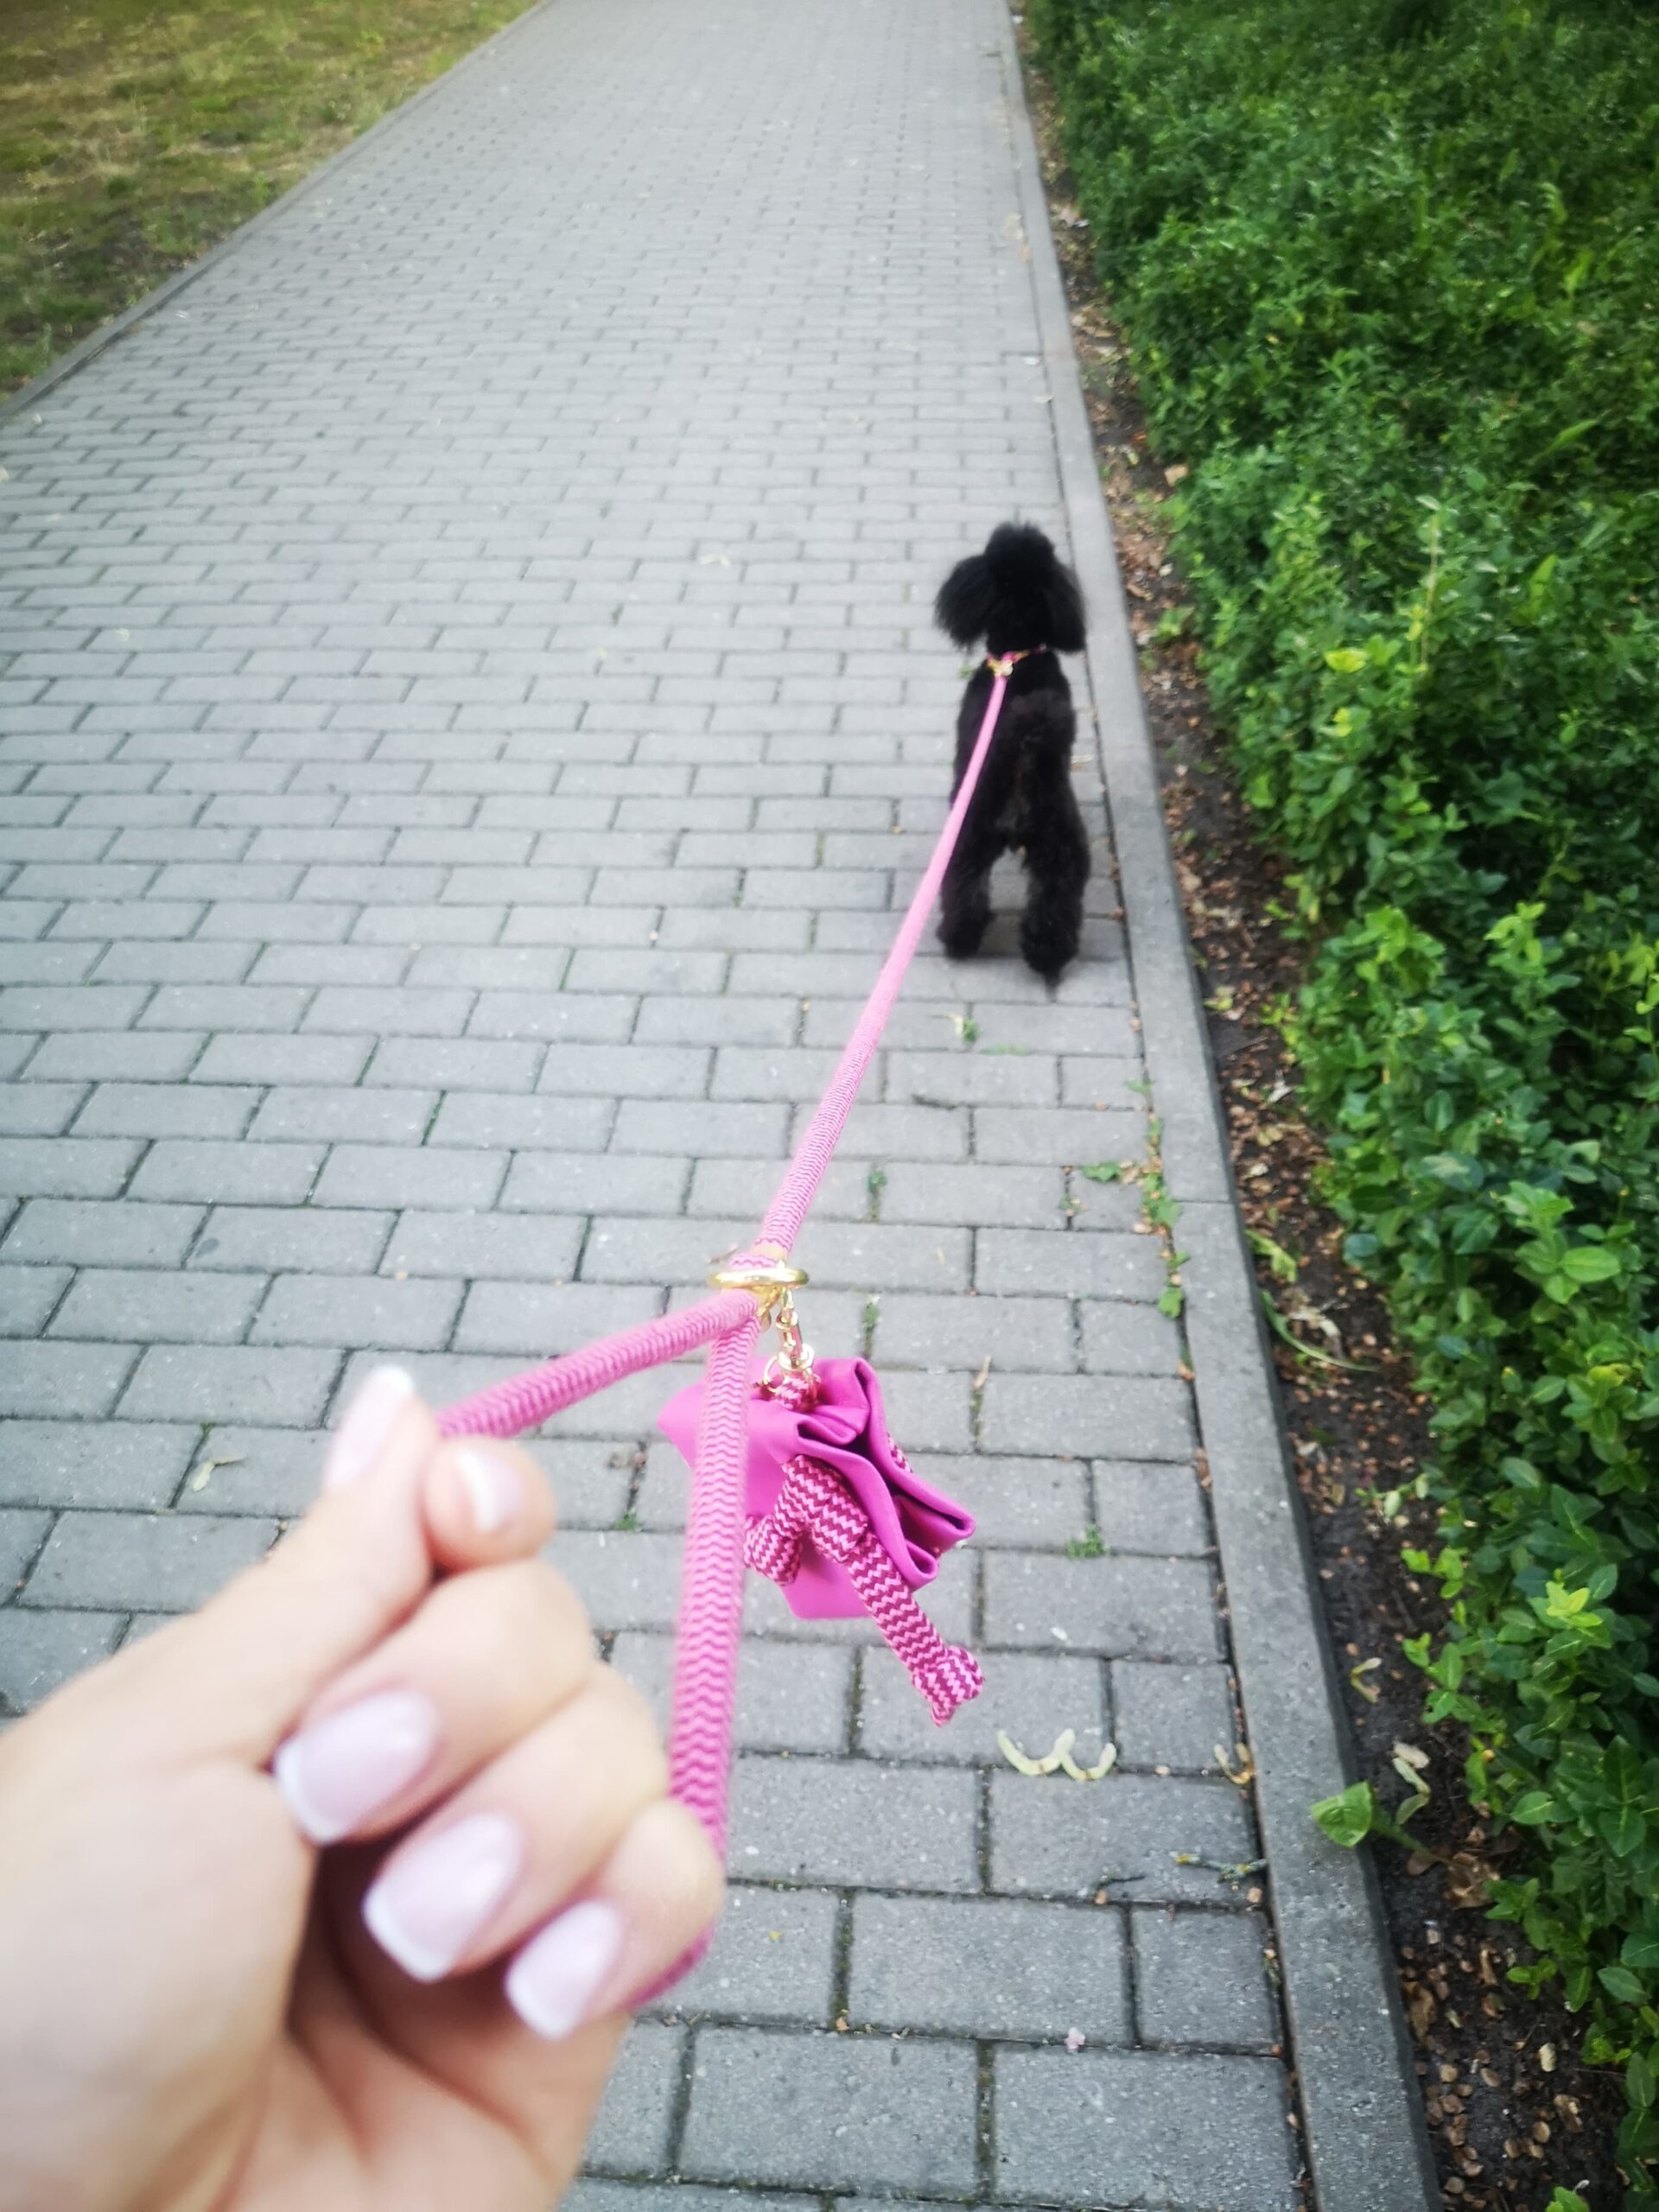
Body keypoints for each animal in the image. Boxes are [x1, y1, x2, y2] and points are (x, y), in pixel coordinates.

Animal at [933, 522, 1090, 980]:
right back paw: (1043, 953)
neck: (1015, 658)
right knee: (1055, 899)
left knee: (964, 888)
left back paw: (960, 941)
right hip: (1057, 844)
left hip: (967, 833)